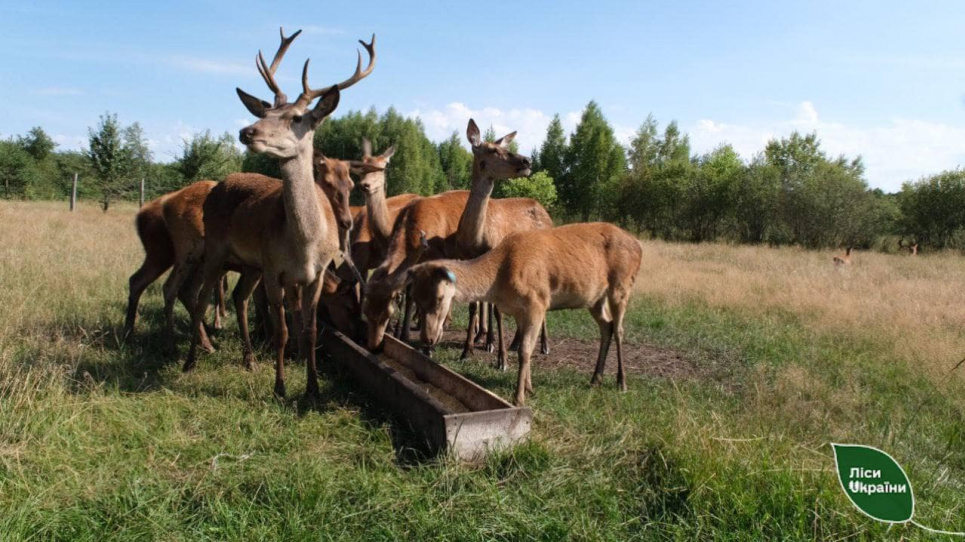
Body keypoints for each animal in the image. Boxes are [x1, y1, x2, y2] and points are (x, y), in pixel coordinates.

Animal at [404, 223, 640, 406]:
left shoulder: (538, 303)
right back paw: (595, 379)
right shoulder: (519, 312)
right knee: (606, 326)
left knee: (619, 329)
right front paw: (529, 387)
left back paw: (622, 382)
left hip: (622, 285)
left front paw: (519, 397)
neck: (500, 281)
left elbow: (524, 350)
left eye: (439, 298)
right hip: (595, 299)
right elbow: (526, 347)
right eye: (415, 297)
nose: (427, 338)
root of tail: (638, 245)